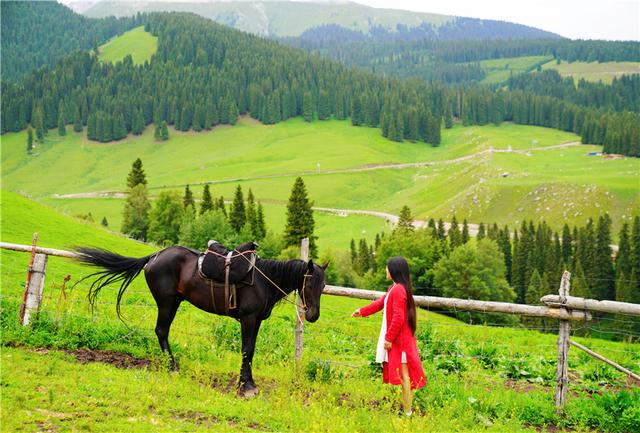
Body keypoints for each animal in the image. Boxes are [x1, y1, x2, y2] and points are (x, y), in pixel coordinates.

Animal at [72, 245, 328, 394]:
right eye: (309, 284)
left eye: (323, 285)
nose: (313, 315)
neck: (264, 280)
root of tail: (154, 256)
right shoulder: (248, 318)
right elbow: (246, 350)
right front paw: (244, 386)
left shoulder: (256, 321)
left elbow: (251, 350)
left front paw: (250, 383)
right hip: (167, 303)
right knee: (161, 331)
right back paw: (173, 367)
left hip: (173, 302)